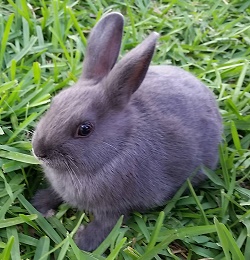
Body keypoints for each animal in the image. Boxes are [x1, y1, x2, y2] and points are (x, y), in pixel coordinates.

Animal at [31, 12, 223, 252]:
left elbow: (108, 223)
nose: (39, 150)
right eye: (54, 102)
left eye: (84, 129)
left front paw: (83, 242)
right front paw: (39, 204)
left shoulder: (116, 208)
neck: (118, 147)